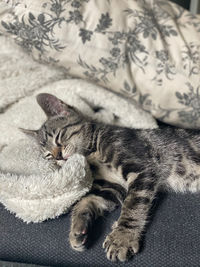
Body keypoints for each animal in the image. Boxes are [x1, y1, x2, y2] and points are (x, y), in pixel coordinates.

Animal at [22, 94, 200, 264]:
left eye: (58, 137)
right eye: (48, 156)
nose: (58, 156)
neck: (93, 154)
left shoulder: (141, 169)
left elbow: (132, 205)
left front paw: (122, 238)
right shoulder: (112, 187)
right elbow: (85, 202)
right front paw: (77, 229)